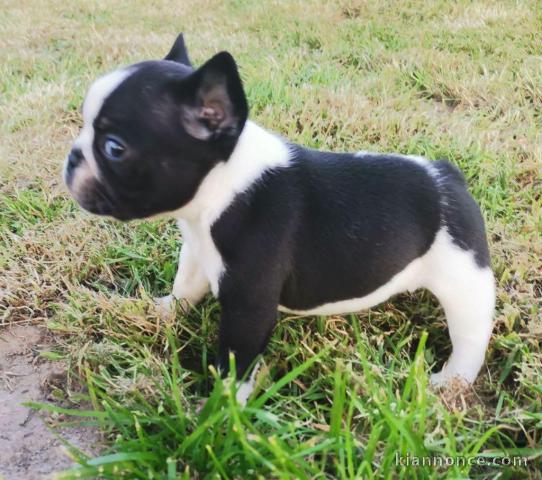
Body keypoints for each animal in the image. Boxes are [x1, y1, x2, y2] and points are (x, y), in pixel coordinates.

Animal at [63, 34, 498, 402]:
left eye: (114, 148)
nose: (72, 156)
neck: (224, 184)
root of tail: (446, 175)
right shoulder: (198, 251)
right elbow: (185, 285)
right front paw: (163, 310)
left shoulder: (249, 303)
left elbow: (236, 360)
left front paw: (222, 411)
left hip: (463, 279)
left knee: (470, 335)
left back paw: (451, 382)